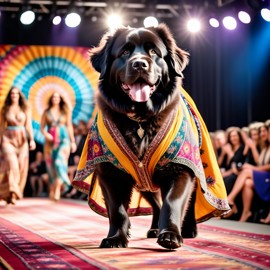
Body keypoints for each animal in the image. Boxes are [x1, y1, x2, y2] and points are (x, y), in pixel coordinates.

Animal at [73, 23, 229, 249]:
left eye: (154, 52)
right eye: (125, 52)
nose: (139, 64)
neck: (140, 120)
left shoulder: (180, 167)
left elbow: (172, 203)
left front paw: (170, 235)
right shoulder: (110, 172)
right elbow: (117, 209)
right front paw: (116, 237)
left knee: (189, 200)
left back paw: (188, 229)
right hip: (144, 182)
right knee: (155, 202)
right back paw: (154, 228)